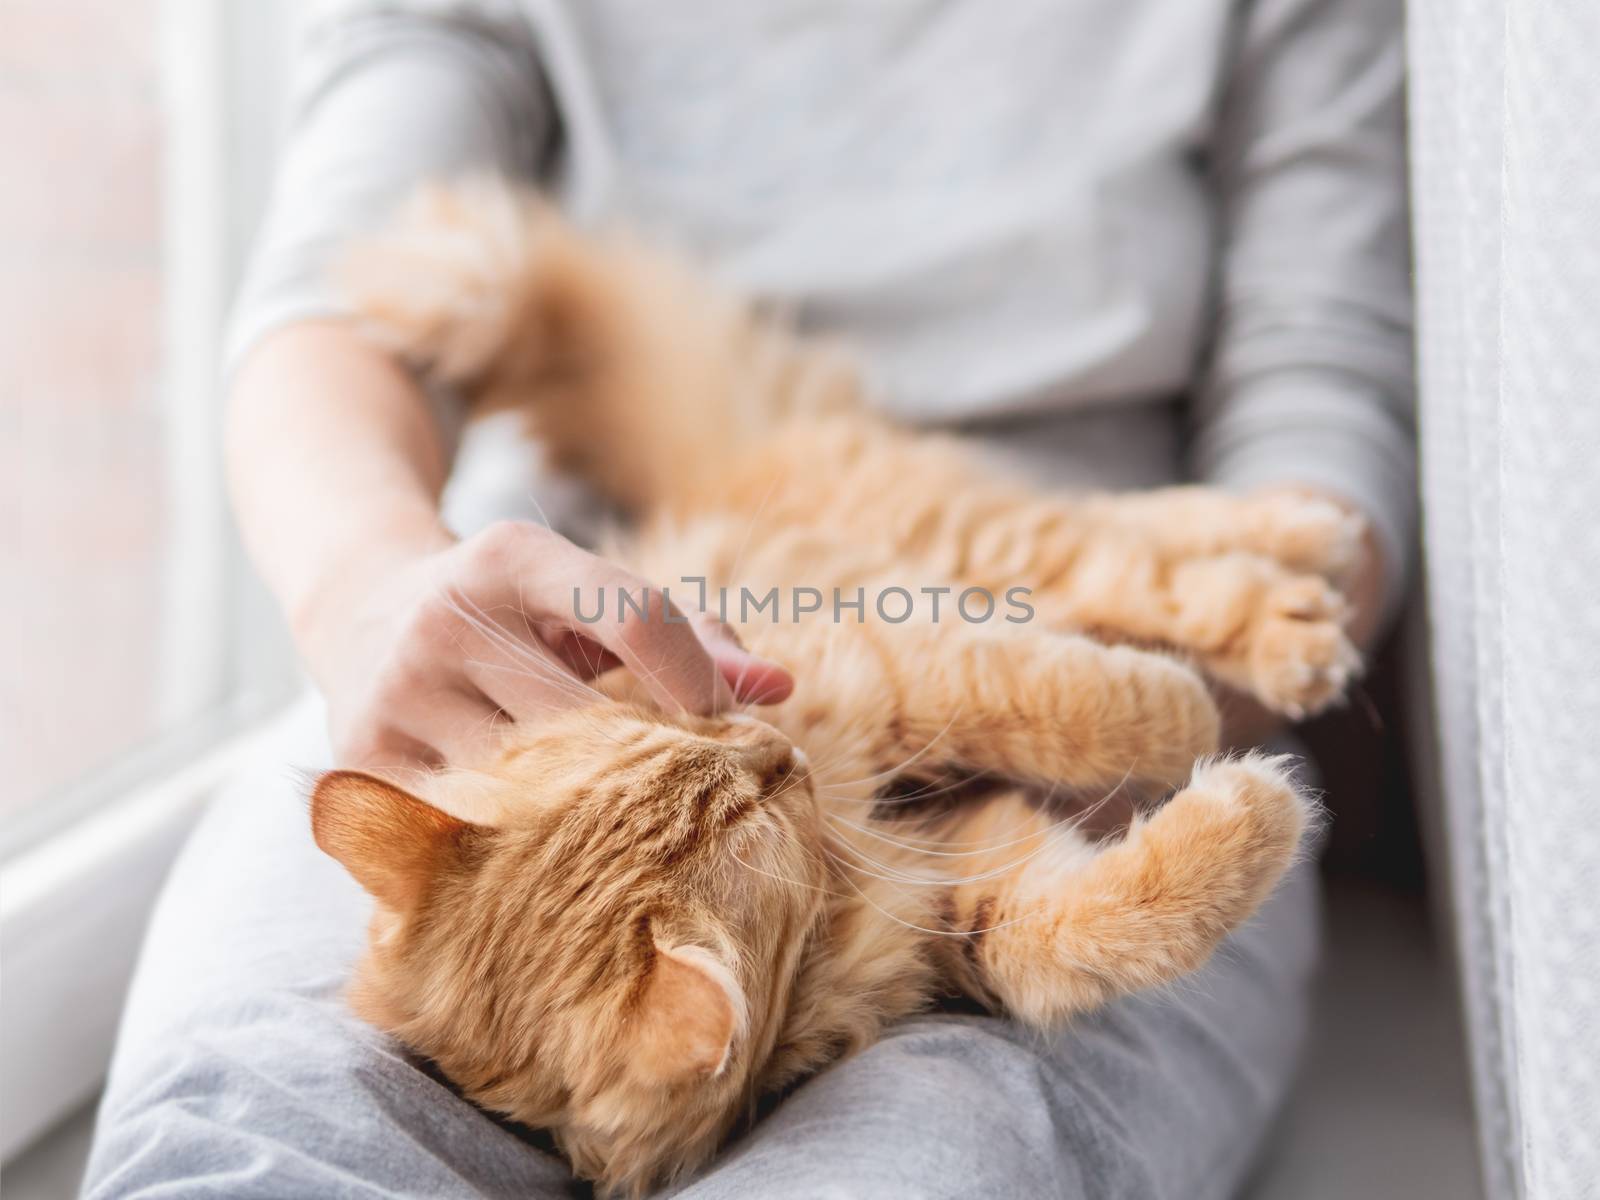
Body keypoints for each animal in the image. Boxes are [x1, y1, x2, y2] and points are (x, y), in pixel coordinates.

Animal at [312, 180, 1363, 1200]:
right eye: (758, 810)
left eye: (699, 743)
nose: (779, 752)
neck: (849, 871)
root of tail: (733, 466)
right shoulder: (962, 898)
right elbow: (1091, 927)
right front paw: (1247, 807)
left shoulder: (887, 667)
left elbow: (1077, 703)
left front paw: (1192, 721)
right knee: (1134, 546)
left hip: (982, 543)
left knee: (1143, 541)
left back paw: (1305, 568)